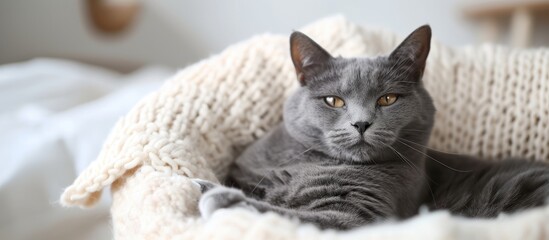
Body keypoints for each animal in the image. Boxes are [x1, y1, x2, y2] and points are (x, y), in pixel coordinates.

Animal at [194, 25, 548, 230]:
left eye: (388, 98)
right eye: (334, 100)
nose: (361, 122)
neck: (305, 164)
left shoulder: (358, 217)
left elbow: (285, 215)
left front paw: (220, 197)